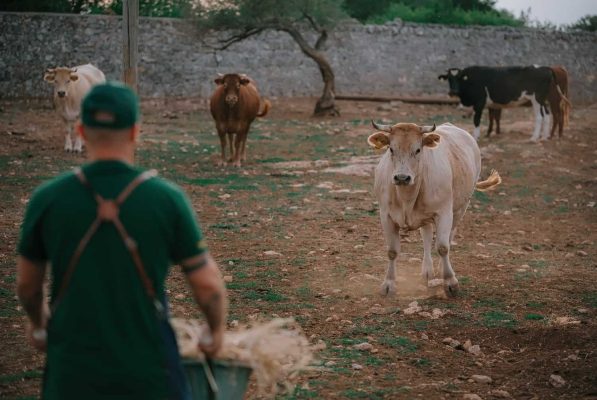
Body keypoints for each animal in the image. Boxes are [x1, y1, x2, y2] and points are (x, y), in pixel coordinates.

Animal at [366, 121, 500, 296]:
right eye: (391, 149)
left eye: (418, 149)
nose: (402, 177)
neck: (407, 197)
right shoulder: (386, 216)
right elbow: (392, 251)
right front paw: (388, 284)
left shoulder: (444, 213)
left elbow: (443, 247)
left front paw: (450, 281)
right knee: (427, 236)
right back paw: (427, 270)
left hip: (460, 209)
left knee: (449, 237)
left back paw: (440, 267)